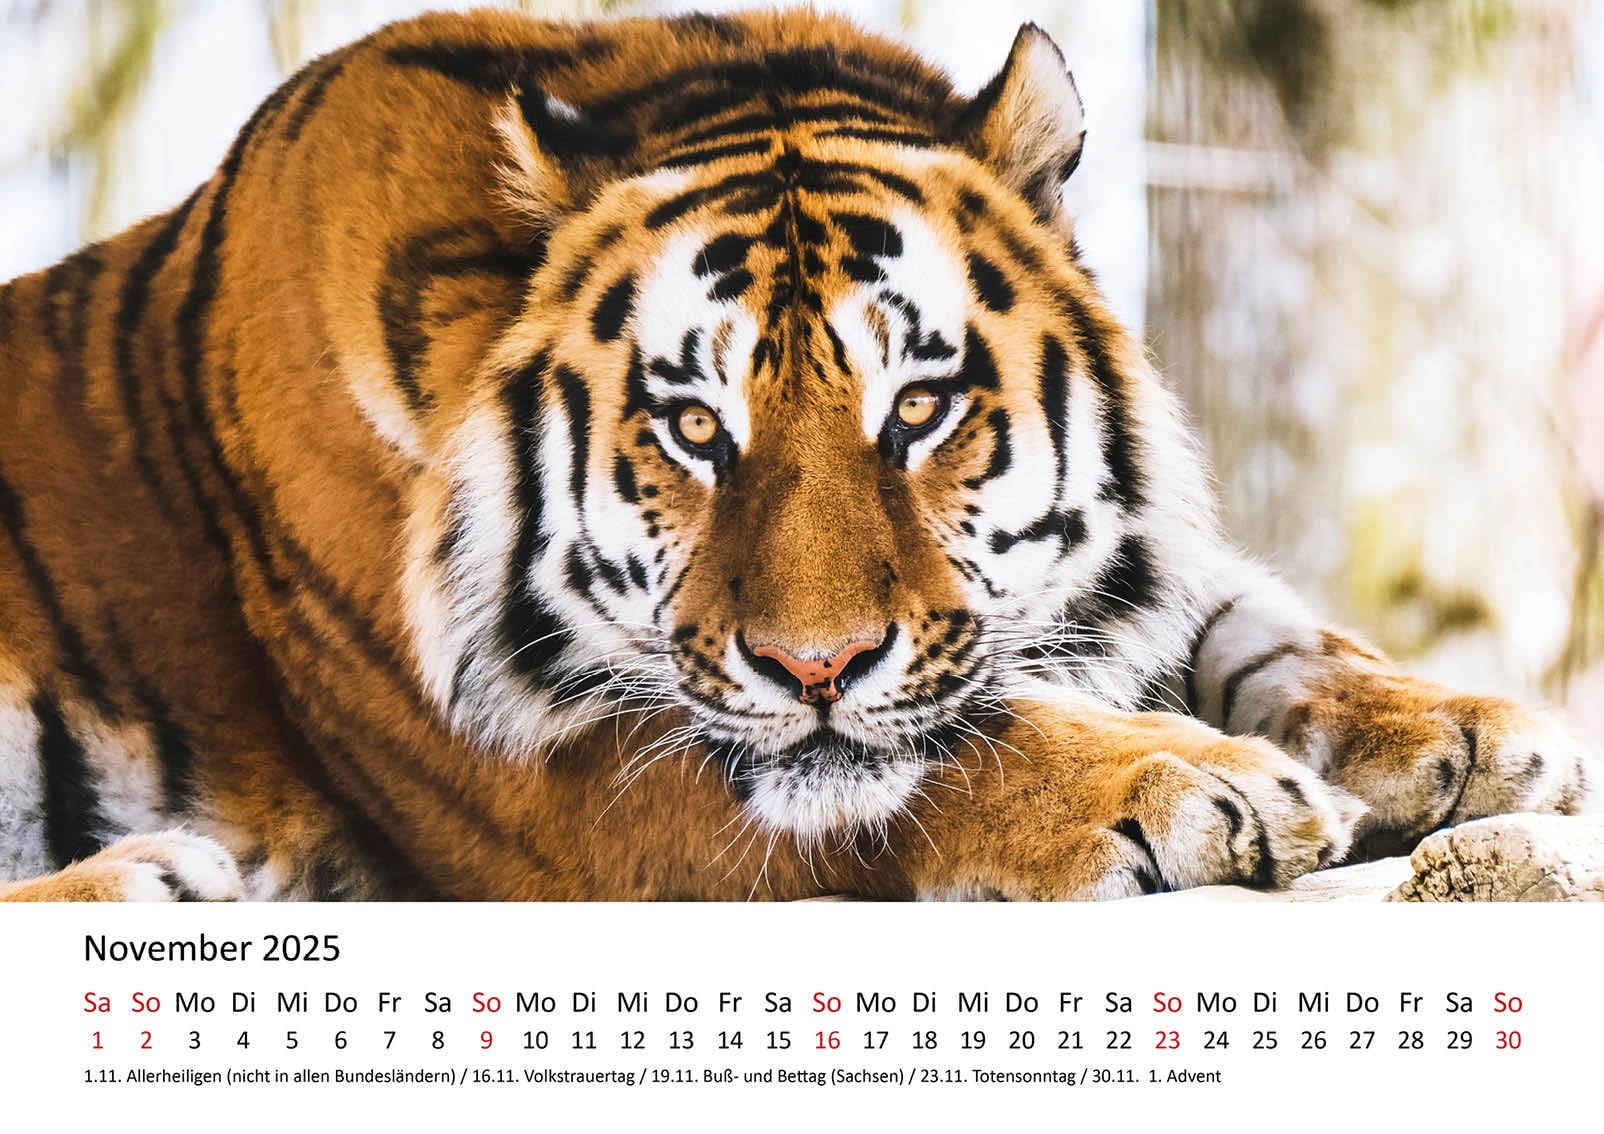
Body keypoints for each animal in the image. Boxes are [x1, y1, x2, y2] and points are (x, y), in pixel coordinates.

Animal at [0, 7, 1593, 902]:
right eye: (693, 426)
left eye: (920, 407)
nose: (813, 665)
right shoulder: (566, 782)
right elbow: (942, 743)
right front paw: (1202, 788)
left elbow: (1255, 622)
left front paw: (1466, 731)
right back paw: (150, 879)